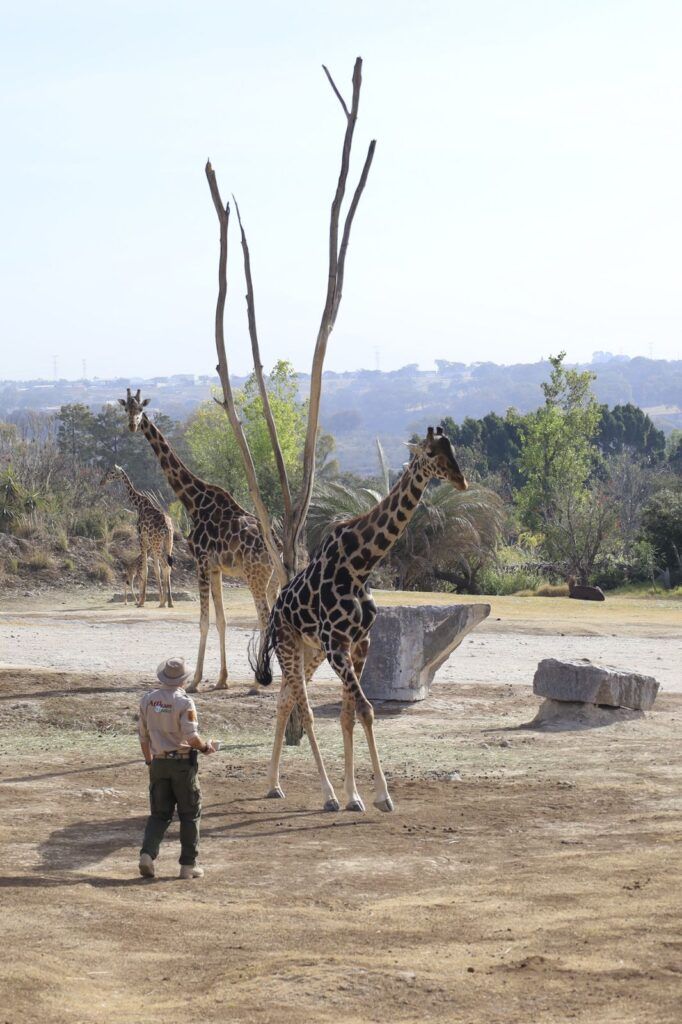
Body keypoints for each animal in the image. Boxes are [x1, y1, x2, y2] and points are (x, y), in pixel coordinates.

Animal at [102, 464, 175, 606]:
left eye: (111, 472)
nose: (102, 481)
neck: (139, 504)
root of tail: (167, 528)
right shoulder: (150, 542)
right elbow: (155, 570)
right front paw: (158, 599)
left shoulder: (142, 538)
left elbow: (146, 569)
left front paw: (141, 601)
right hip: (168, 542)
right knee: (168, 566)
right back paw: (169, 602)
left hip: (157, 543)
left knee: (165, 565)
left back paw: (164, 602)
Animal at [118, 387, 276, 692]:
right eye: (126, 410)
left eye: (141, 409)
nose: (132, 425)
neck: (194, 501)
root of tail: (279, 548)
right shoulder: (215, 568)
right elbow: (221, 620)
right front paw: (222, 679)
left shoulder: (201, 562)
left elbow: (203, 621)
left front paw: (195, 681)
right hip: (271, 579)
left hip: (256, 576)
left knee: (265, 618)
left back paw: (257, 682)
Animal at [254, 423, 466, 815]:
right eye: (431, 453)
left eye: (453, 449)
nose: (461, 480)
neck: (360, 564)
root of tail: (275, 611)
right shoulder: (337, 645)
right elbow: (366, 710)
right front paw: (378, 796)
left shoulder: (359, 643)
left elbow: (349, 714)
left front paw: (357, 795)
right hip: (291, 645)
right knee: (303, 709)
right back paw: (326, 795)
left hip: (310, 651)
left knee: (285, 700)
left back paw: (274, 785)